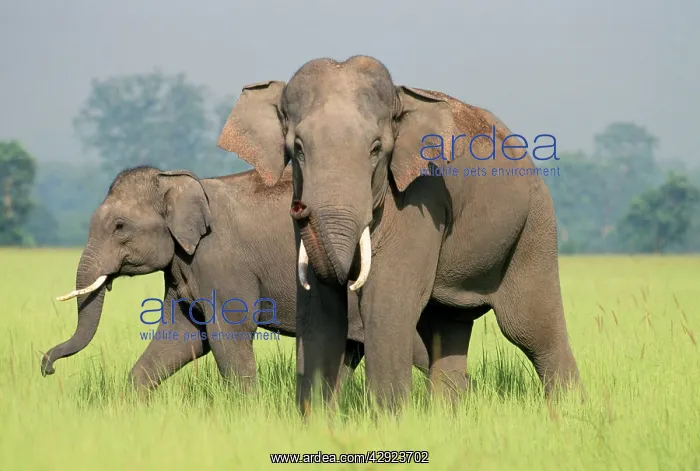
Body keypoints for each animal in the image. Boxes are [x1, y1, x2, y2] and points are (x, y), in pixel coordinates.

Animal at [41, 165, 430, 393]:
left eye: (120, 227)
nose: (46, 368)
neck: (176, 181)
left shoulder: (219, 261)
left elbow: (226, 333)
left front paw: (247, 409)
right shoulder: (184, 266)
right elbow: (183, 335)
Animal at [215, 55, 583, 412]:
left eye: (377, 148)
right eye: (298, 148)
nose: (300, 209)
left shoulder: (422, 198)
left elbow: (386, 303)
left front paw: (388, 420)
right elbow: (320, 307)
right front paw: (316, 419)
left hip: (533, 225)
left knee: (530, 328)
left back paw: (569, 412)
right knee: (446, 326)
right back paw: (446, 417)